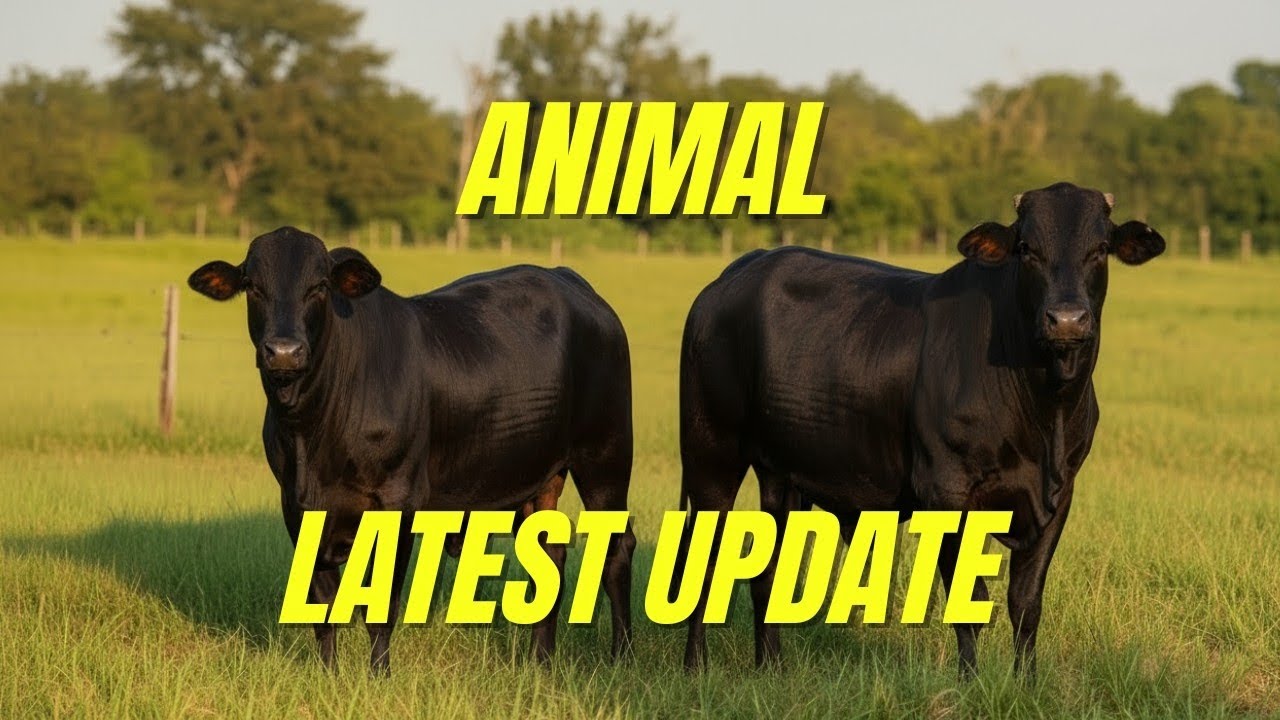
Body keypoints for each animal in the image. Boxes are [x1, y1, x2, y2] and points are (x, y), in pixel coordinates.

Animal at [187, 227, 636, 676]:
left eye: (319, 286)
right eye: (252, 286)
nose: (283, 351)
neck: (312, 436)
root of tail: (569, 280)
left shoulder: (398, 500)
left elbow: (380, 603)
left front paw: (379, 675)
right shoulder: (295, 506)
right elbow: (323, 603)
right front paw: (328, 674)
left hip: (607, 455)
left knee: (617, 549)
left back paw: (622, 656)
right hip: (538, 474)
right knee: (549, 553)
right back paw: (539, 660)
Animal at [676, 182, 1164, 678]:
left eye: (1100, 248)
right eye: (1027, 248)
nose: (1066, 319)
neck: (1045, 414)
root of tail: (734, 274)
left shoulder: (1059, 493)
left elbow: (1026, 603)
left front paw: (1025, 682)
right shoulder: (944, 489)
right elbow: (969, 602)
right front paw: (971, 682)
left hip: (781, 474)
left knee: (768, 572)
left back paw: (772, 667)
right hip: (709, 452)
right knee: (703, 556)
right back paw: (695, 667)